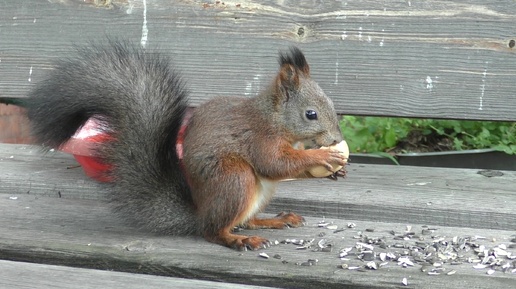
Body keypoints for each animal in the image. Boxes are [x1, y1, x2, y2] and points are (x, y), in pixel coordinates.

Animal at [25, 41, 346, 250]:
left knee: (245, 220)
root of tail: (201, 212)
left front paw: (336, 171)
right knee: (214, 231)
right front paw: (323, 155)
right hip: (233, 178)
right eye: (311, 114)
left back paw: (275, 220)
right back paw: (237, 239)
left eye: (332, 104)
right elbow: (275, 163)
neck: (275, 118)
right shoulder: (259, 137)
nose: (334, 139)